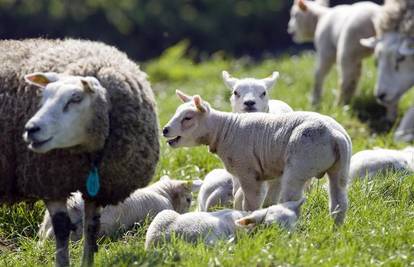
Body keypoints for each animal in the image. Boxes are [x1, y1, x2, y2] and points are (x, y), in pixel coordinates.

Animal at [0, 38, 159, 266]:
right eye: (43, 97)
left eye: (75, 98)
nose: (31, 129)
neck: (91, 154)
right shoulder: (50, 182)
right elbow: (61, 228)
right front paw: (62, 262)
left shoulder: (99, 189)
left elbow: (91, 227)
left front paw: (87, 261)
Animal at [163, 91, 350, 225]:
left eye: (187, 118)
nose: (165, 130)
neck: (224, 130)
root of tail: (335, 135)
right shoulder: (244, 173)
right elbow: (239, 196)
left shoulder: (248, 171)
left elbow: (251, 203)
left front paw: (248, 219)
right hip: (340, 168)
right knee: (339, 202)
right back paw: (336, 230)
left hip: (300, 165)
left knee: (292, 199)